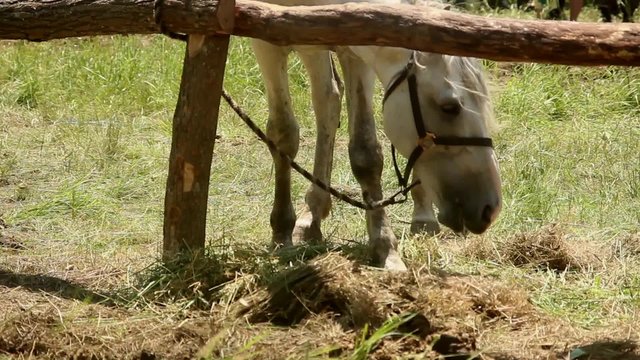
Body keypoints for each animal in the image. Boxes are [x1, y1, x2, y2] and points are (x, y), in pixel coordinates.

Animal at [249, 0, 500, 270]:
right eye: (450, 107)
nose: (490, 207)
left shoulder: (356, 43)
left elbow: (365, 152)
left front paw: (385, 248)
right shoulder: (271, 38)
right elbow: (284, 133)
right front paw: (282, 231)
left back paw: (423, 216)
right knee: (328, 99)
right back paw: (311, 218)